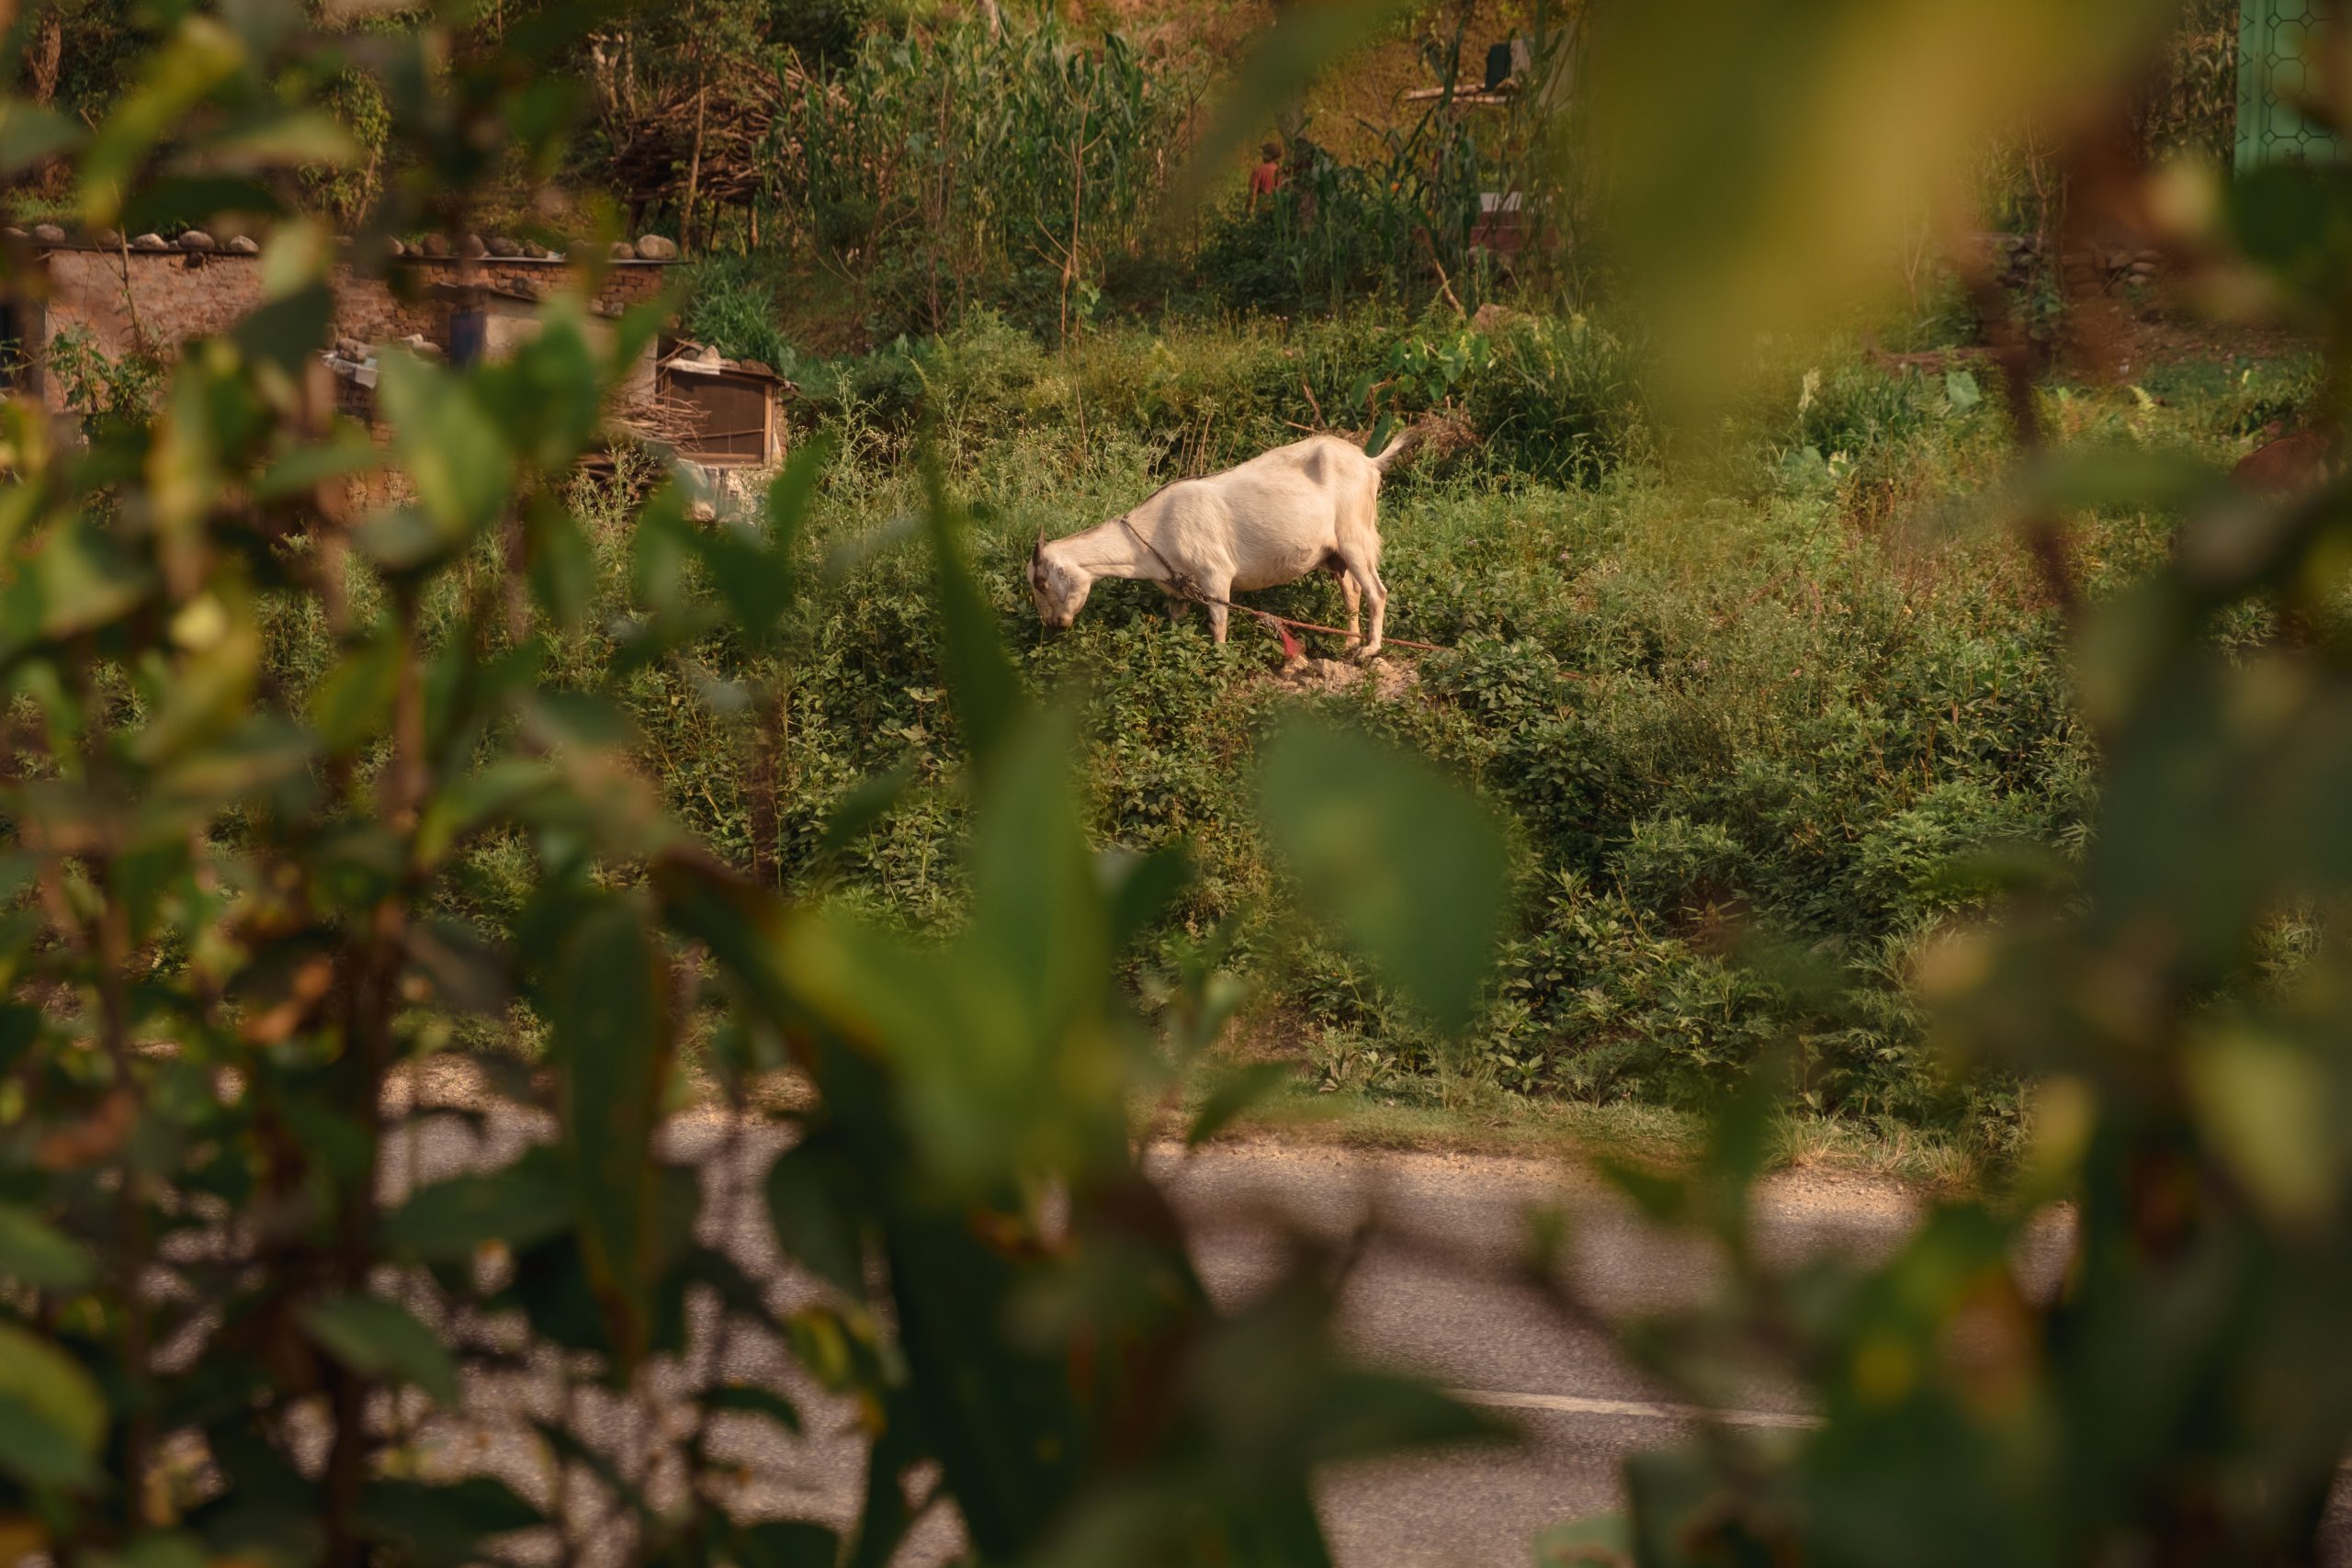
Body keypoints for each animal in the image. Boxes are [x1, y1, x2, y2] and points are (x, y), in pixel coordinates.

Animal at [1025, 430, 1411, 658]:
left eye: (1042, 583)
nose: (1053, 624)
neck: (1155, 532)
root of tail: (1369, 461)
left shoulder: (1215, 574)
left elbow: (1219, 623)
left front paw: (1219, 657)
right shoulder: (1176, 587)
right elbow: (1176, 620)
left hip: (1355, 537)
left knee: (1376, 591)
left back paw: (1370, 650)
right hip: (1334, 555)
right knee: (1352, 592)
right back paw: (1349, 642)